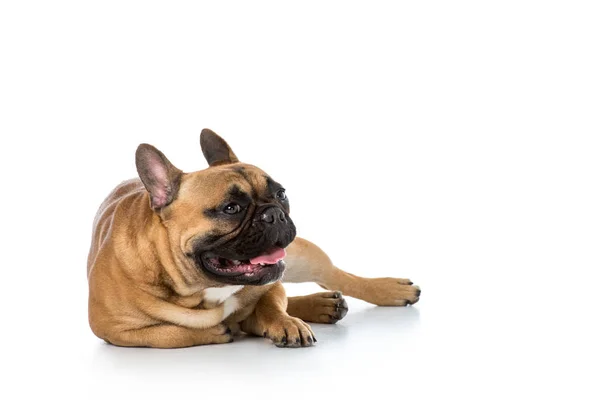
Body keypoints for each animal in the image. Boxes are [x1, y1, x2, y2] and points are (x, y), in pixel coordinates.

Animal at [86, 130, 420, 348]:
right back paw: (322, 305)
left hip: (303, 256)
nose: (273, 214)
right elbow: (167, 335)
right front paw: (218, 330)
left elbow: (272, 304)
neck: (203, 288)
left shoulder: (271, 284)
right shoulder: (114, 330)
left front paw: (284, 322)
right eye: (230, 208)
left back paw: (389, 289)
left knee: (335, 274)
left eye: (281, 193)